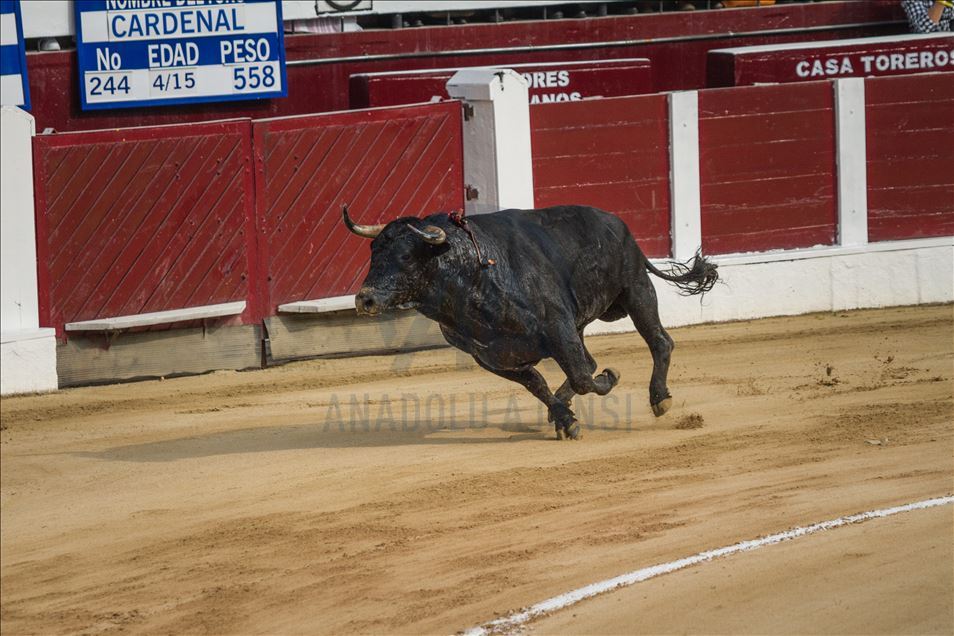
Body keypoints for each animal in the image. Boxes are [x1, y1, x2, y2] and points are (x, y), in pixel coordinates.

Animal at [342, 206, 712, 440]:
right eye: (373, 253)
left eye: (405, 256)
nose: (365, 299)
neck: (472, 277)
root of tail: (618, 224)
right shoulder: (492, 357)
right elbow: (539, 385)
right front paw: (565, 420)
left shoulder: (559, 328)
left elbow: (582, 379)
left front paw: (610, 378)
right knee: (589, 362)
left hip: (636, 289)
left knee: (658, 341)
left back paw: (659, 397)